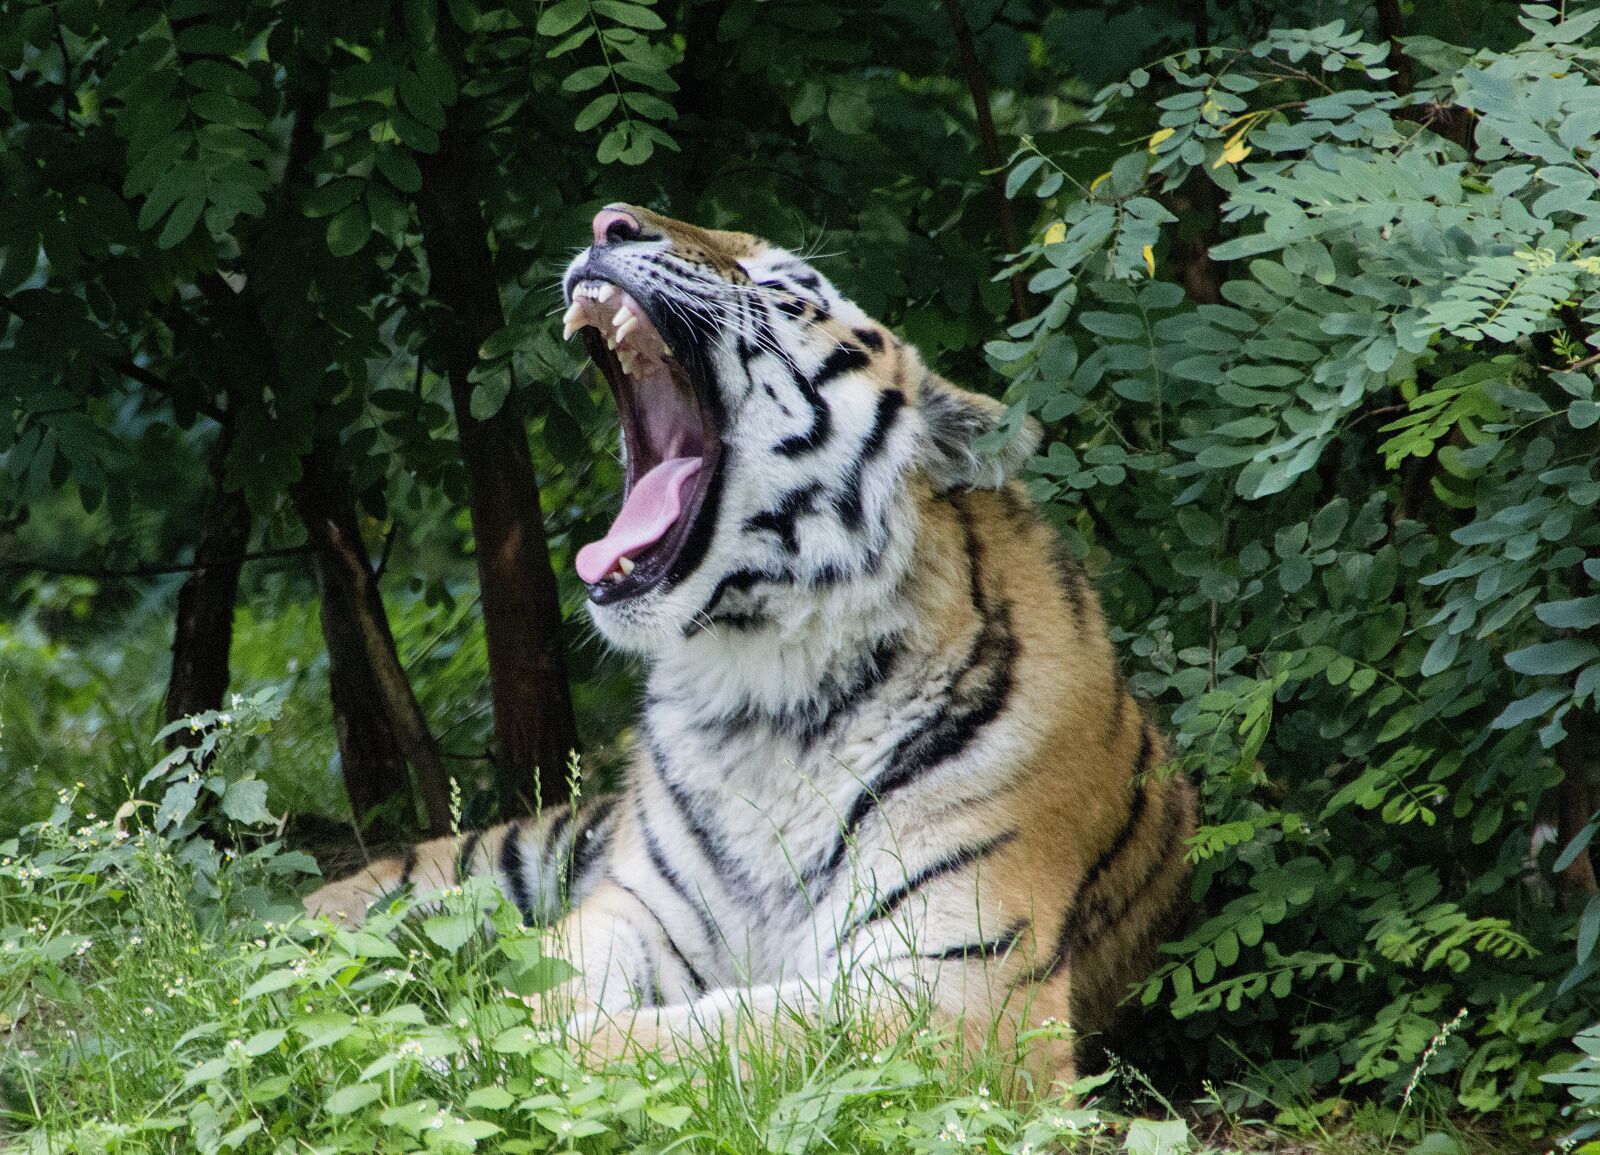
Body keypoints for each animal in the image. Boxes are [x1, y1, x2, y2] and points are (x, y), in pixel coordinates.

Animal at [303, 204, 1197, 1092]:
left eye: (786, 289)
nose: (608, 221)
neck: (763, 694)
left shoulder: (959, 990)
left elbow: (715, 1037)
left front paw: (455, 1056)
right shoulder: (631, 908)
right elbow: (550, 982)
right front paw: (456, 1031)